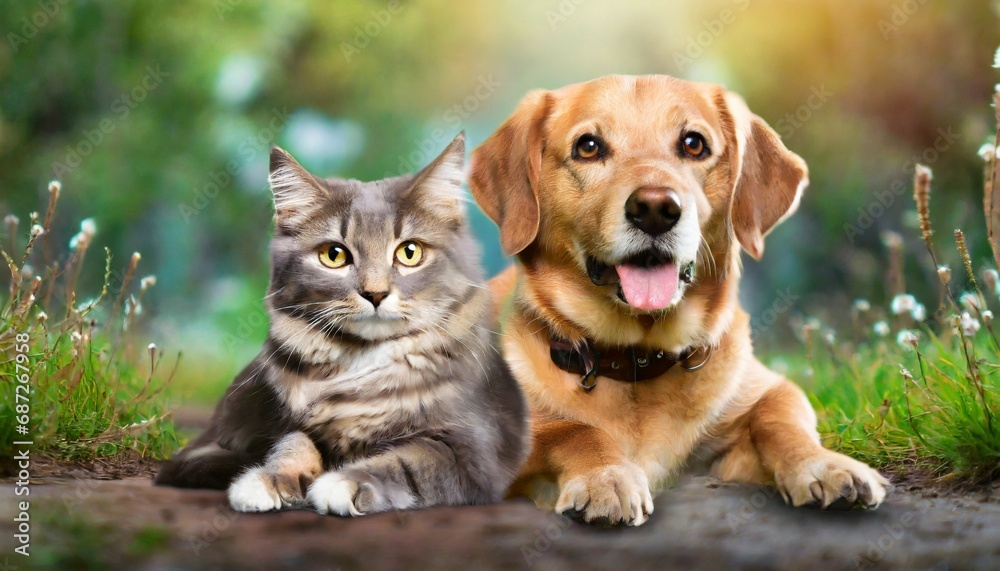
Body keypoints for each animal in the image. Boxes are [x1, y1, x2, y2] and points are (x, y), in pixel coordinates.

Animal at [154, 134, 532, 520]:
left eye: (409, 252)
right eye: (334, 255)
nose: (375, 293)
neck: (362, 366)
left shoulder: (470, 449)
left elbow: (407, 462)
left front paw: (343, 482)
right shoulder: (286, 423)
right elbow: (292, 444)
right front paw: (269, 480)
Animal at [468, 75, 892, 528]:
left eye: (693, 144)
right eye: (588, 146)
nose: (655, 208)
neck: (637, 359)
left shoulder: (769, 393)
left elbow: (778, 419)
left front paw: (823, 464)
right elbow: (572, 430)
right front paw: (608, 477)